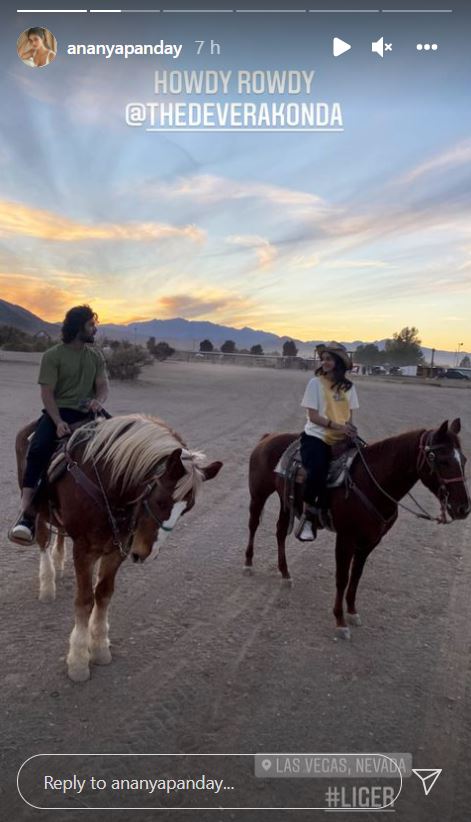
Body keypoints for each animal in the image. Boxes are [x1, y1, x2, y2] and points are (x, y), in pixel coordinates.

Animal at [12, 416, 223, 684]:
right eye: (160, 501)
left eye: (187, 508)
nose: (146, 553)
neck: (106, 484)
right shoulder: (84, 550)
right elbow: (85, 600)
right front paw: (78, 660)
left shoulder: (116, 551)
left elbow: (103, 595)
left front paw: (100, 647)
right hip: (37, 508)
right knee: (42, 541)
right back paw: (47, 583)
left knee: (58, 534)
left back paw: (58, 563)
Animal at [245, 422, 470, 640]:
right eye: (442, 460)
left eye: (464, 460)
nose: (463, 508)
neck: (372, 482)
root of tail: (268, 437)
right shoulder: (346, 538)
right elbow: (342, 578)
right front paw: (340, 621)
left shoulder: (371, 540)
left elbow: (356, 575)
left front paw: (352, 612)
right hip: (259, 494)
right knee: (253, 525)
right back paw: (248, 564)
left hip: (285, 502)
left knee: (280, 532)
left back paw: (285, 573)